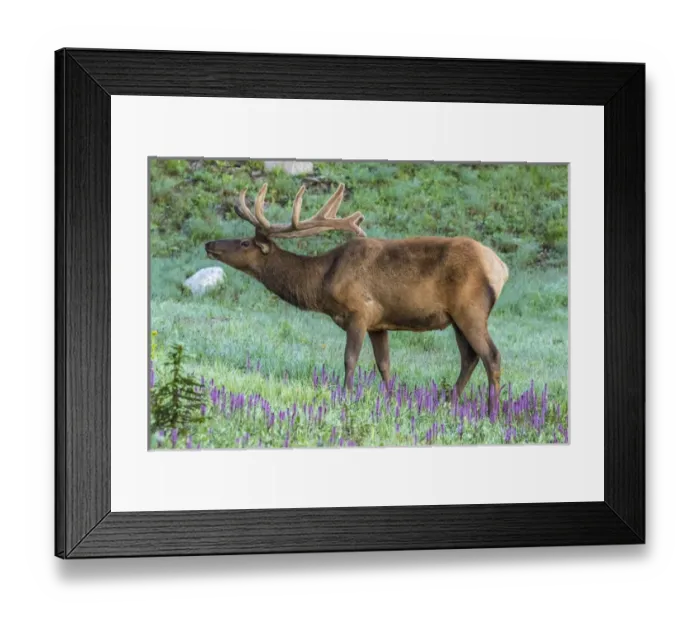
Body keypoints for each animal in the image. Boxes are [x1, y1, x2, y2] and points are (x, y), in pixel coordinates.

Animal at [204, 182, 509, 408]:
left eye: (245, 243)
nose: (209, 244)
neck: (322, 282)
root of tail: (501, 268)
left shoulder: (359, 312)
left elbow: (350, 359)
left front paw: (347, 396)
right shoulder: (379, 323)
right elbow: (384, 364)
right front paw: (390, 400)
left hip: (470, 309)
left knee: (491, 355)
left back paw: (492, 410)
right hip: (457, 318)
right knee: (469, 357)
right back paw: (449, 401)